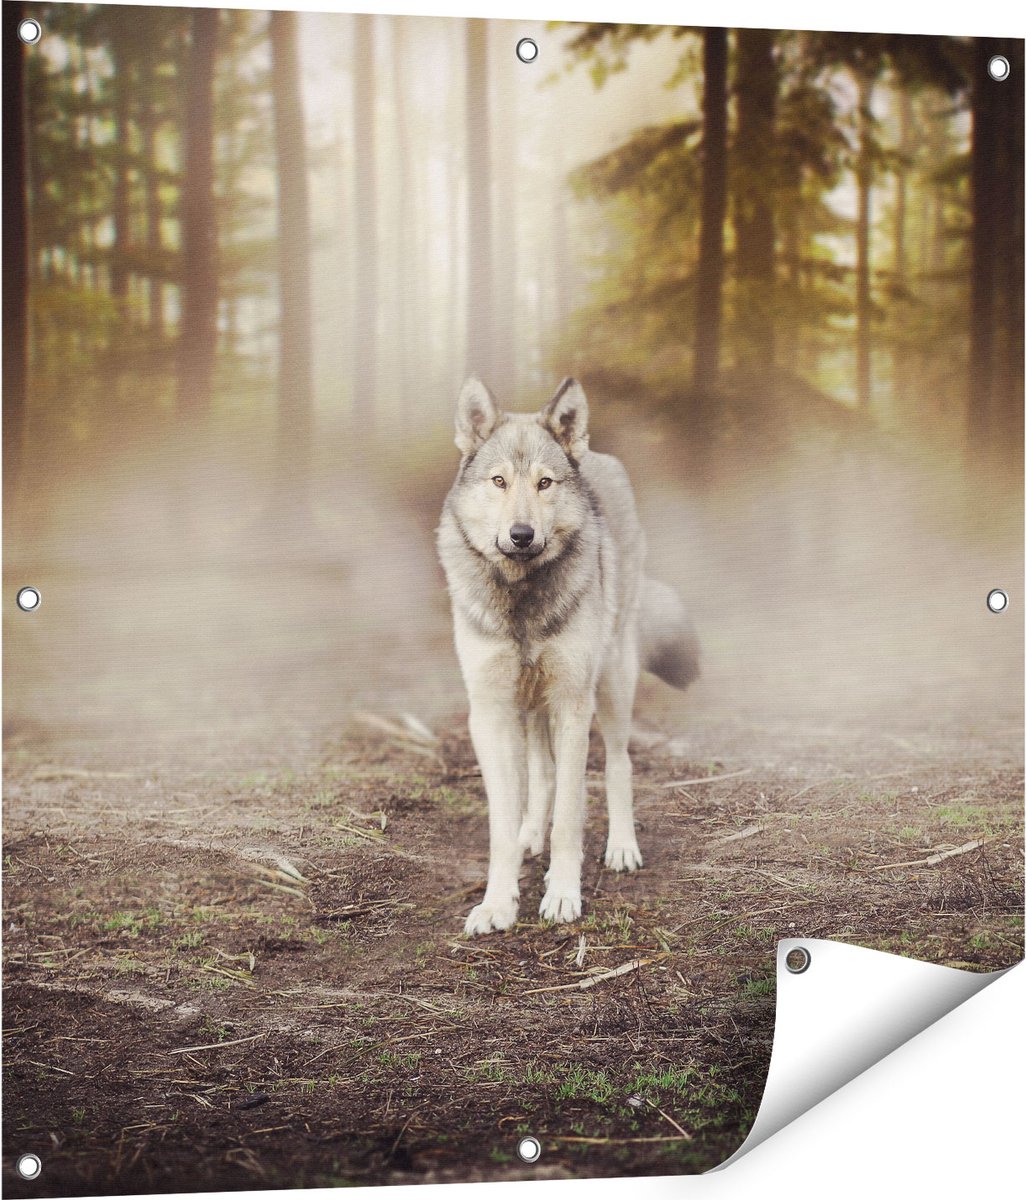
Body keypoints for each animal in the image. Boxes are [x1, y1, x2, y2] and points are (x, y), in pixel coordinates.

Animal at [437, 377, 699, 935]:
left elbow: (570, 817)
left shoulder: (573, 705)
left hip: (612, 684)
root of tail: (597, 454)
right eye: (499, 481)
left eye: (545, 484)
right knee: (543, 774)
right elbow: (501, 823)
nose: (521, 535)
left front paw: (561, 895)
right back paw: (529, 835)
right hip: (533, 704)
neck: (522, 599)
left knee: (618, 765)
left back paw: (621, 847)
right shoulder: (490, 714)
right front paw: (497, 902)